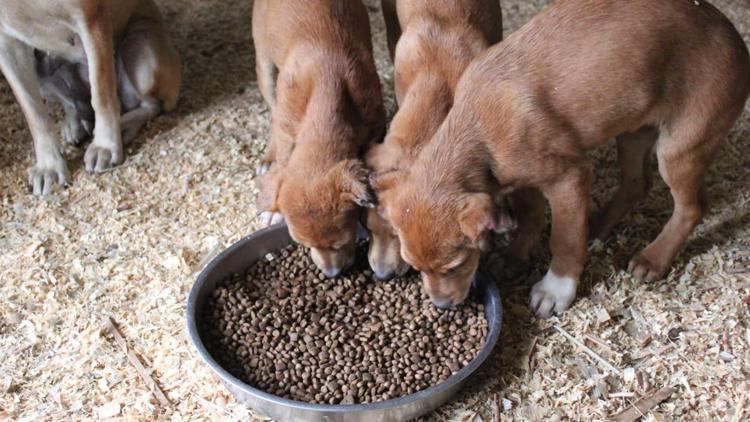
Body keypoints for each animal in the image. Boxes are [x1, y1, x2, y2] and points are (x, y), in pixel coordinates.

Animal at [0, 0, 182, 195]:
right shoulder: (7, 45)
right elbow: (35, 115)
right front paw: (49, 166)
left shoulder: (91, 21)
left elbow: (102, 94)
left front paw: (105, 146)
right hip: (44, 66)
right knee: (72, 103)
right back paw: (74, 124)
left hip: (142, 54)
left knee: (153, 104)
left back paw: (124, 125)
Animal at [256, 0, 390, 278]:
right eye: (302, 244)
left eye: (342, 242)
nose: (331, 274)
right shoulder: (286, 128)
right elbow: (282, 152)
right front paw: (273, 210)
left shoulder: (376, 122)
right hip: (265, 68)